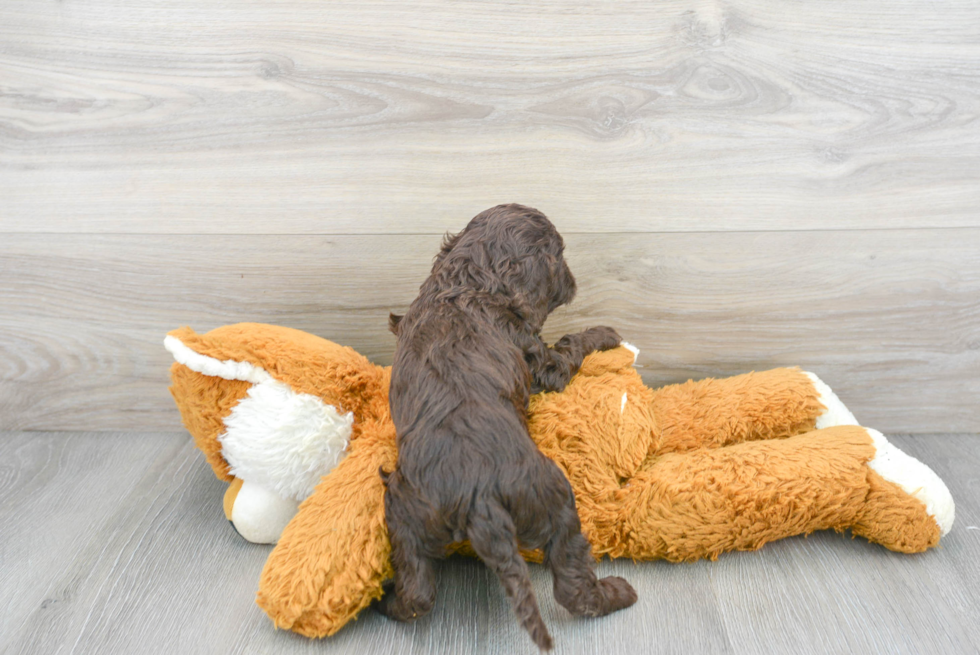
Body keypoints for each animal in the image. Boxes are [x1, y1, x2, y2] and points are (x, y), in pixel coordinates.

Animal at [378, 205, 640, 652]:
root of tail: (479, 499)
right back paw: (617, 593)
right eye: (559, 254)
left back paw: (389, 601)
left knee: (418, 590)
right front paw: (606, 333)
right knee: (572, 582)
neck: (467, 283)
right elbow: (569, 347)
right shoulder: (537, 354)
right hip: (554, 496)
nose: (573, 279)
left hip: (405, 510)